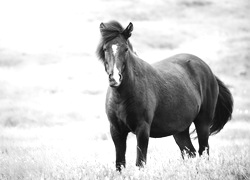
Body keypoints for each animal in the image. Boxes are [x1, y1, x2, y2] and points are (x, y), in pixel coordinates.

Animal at [95, 20, 232, 171]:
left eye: (125, 49)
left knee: (203, 151)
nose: (114, 78)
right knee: (190, 152)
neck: (122, 96)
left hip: (203, 123)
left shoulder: (142, 130)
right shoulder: (116, 131)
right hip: (180, 130)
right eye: (105, 49)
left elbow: (140, 162)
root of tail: (208, 70)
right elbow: (120, 164)